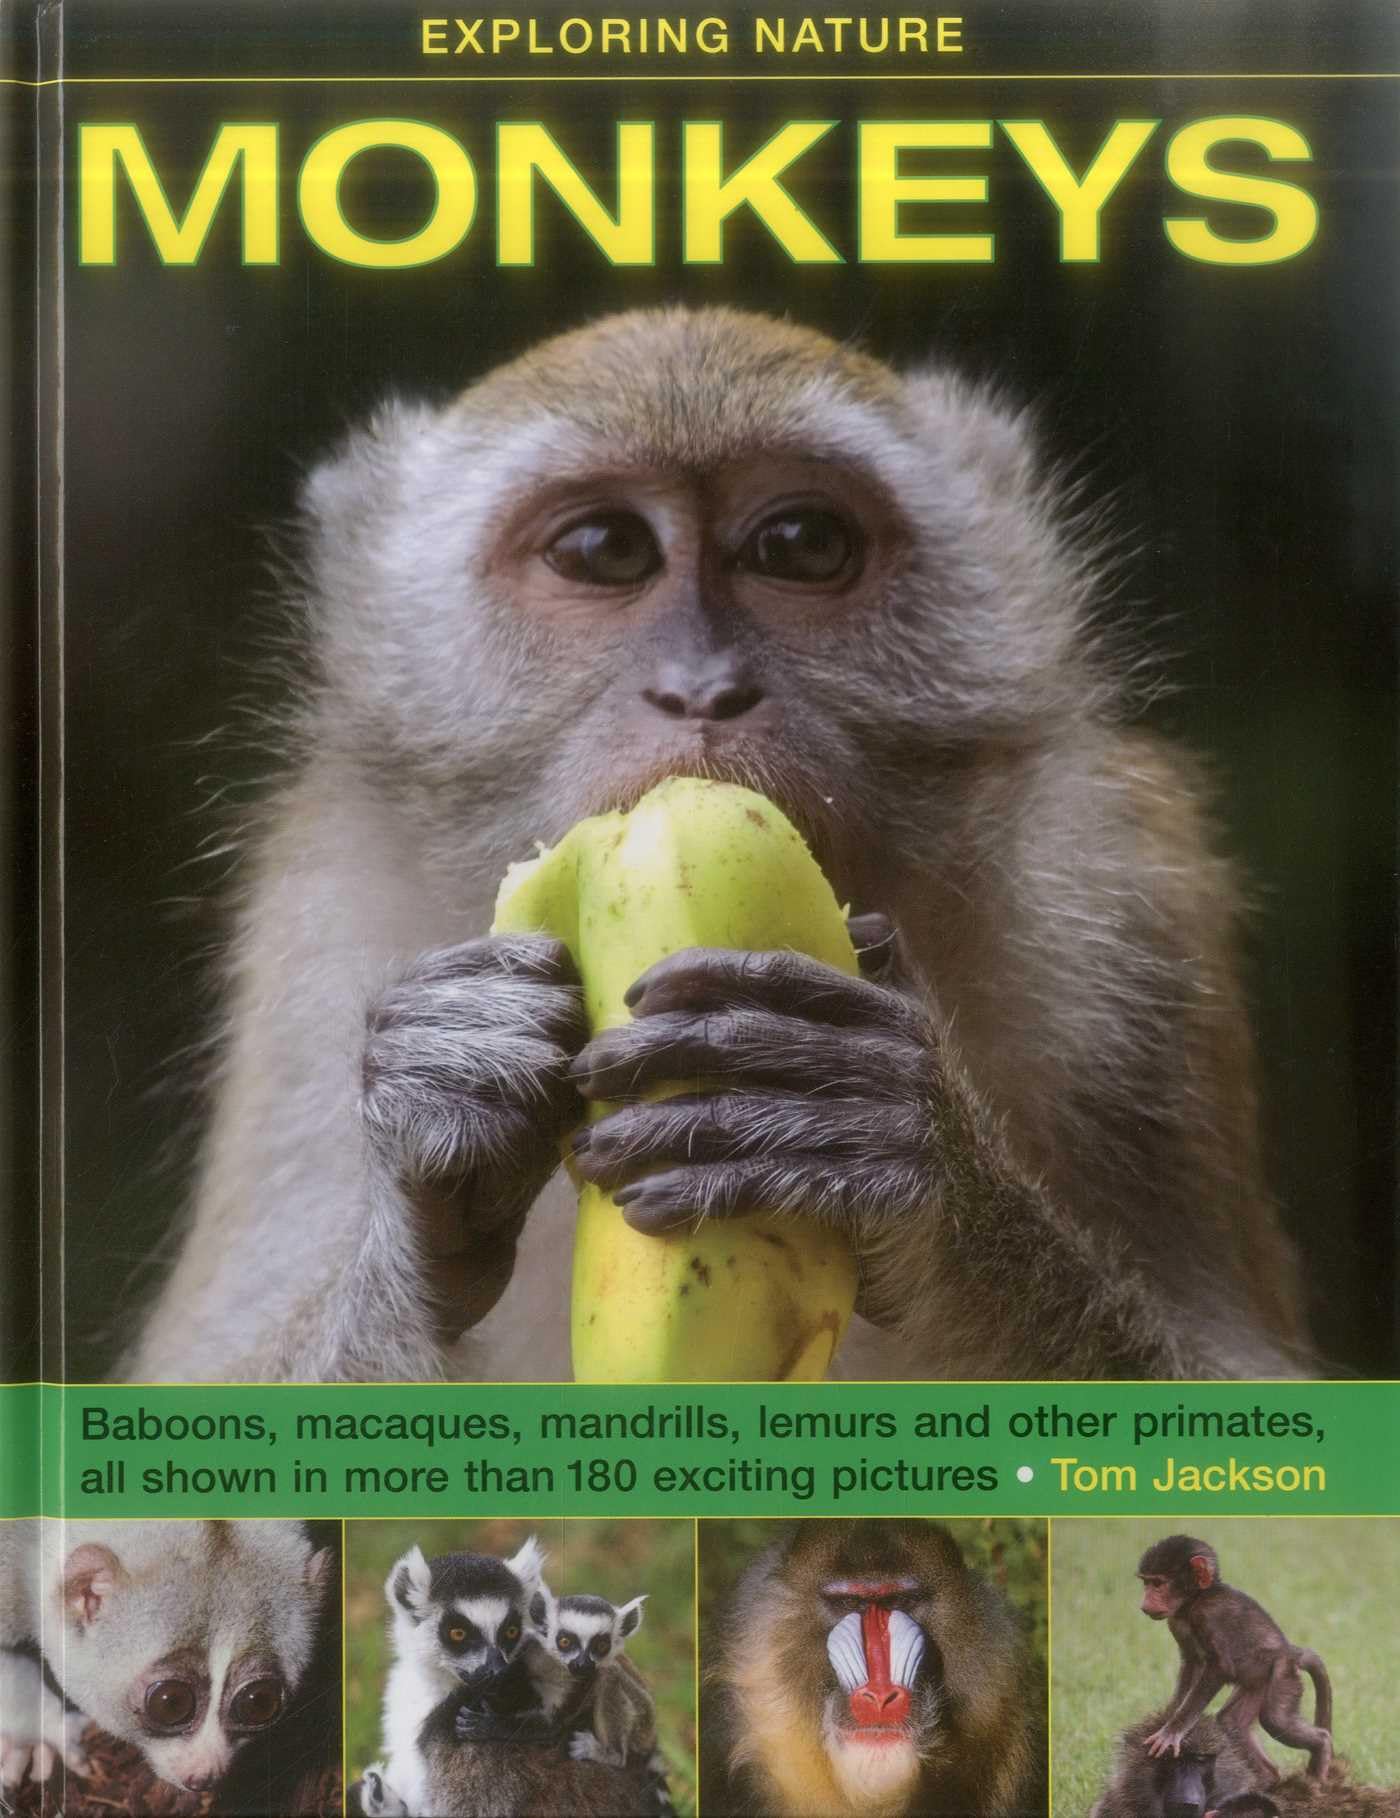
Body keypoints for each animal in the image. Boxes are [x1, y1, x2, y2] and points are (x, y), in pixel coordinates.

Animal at [124, 304, 1311, 1386]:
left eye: (800, 545)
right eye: (605, 551)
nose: (701, 689)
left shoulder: (1131, 904)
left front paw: (899, 1145)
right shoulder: (308, 937)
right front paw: (439, 1116)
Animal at [1136, 1536, 1333, 1785]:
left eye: (1158, 1584)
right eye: (1146, 1583)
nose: (1144, 1604)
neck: (1196, 1600)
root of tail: (1291, 1652)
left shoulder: (1208, 1615)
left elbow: (1220, 1667)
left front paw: (1171, 1732)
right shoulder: (1176, 1622)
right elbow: (1191, 1663)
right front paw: (1168, 1715)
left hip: (1283, 1675)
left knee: (1274, 1718)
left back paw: (1322, 1745)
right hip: (1258, 1682)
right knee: (1231, 1721)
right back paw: (1268, 1778)